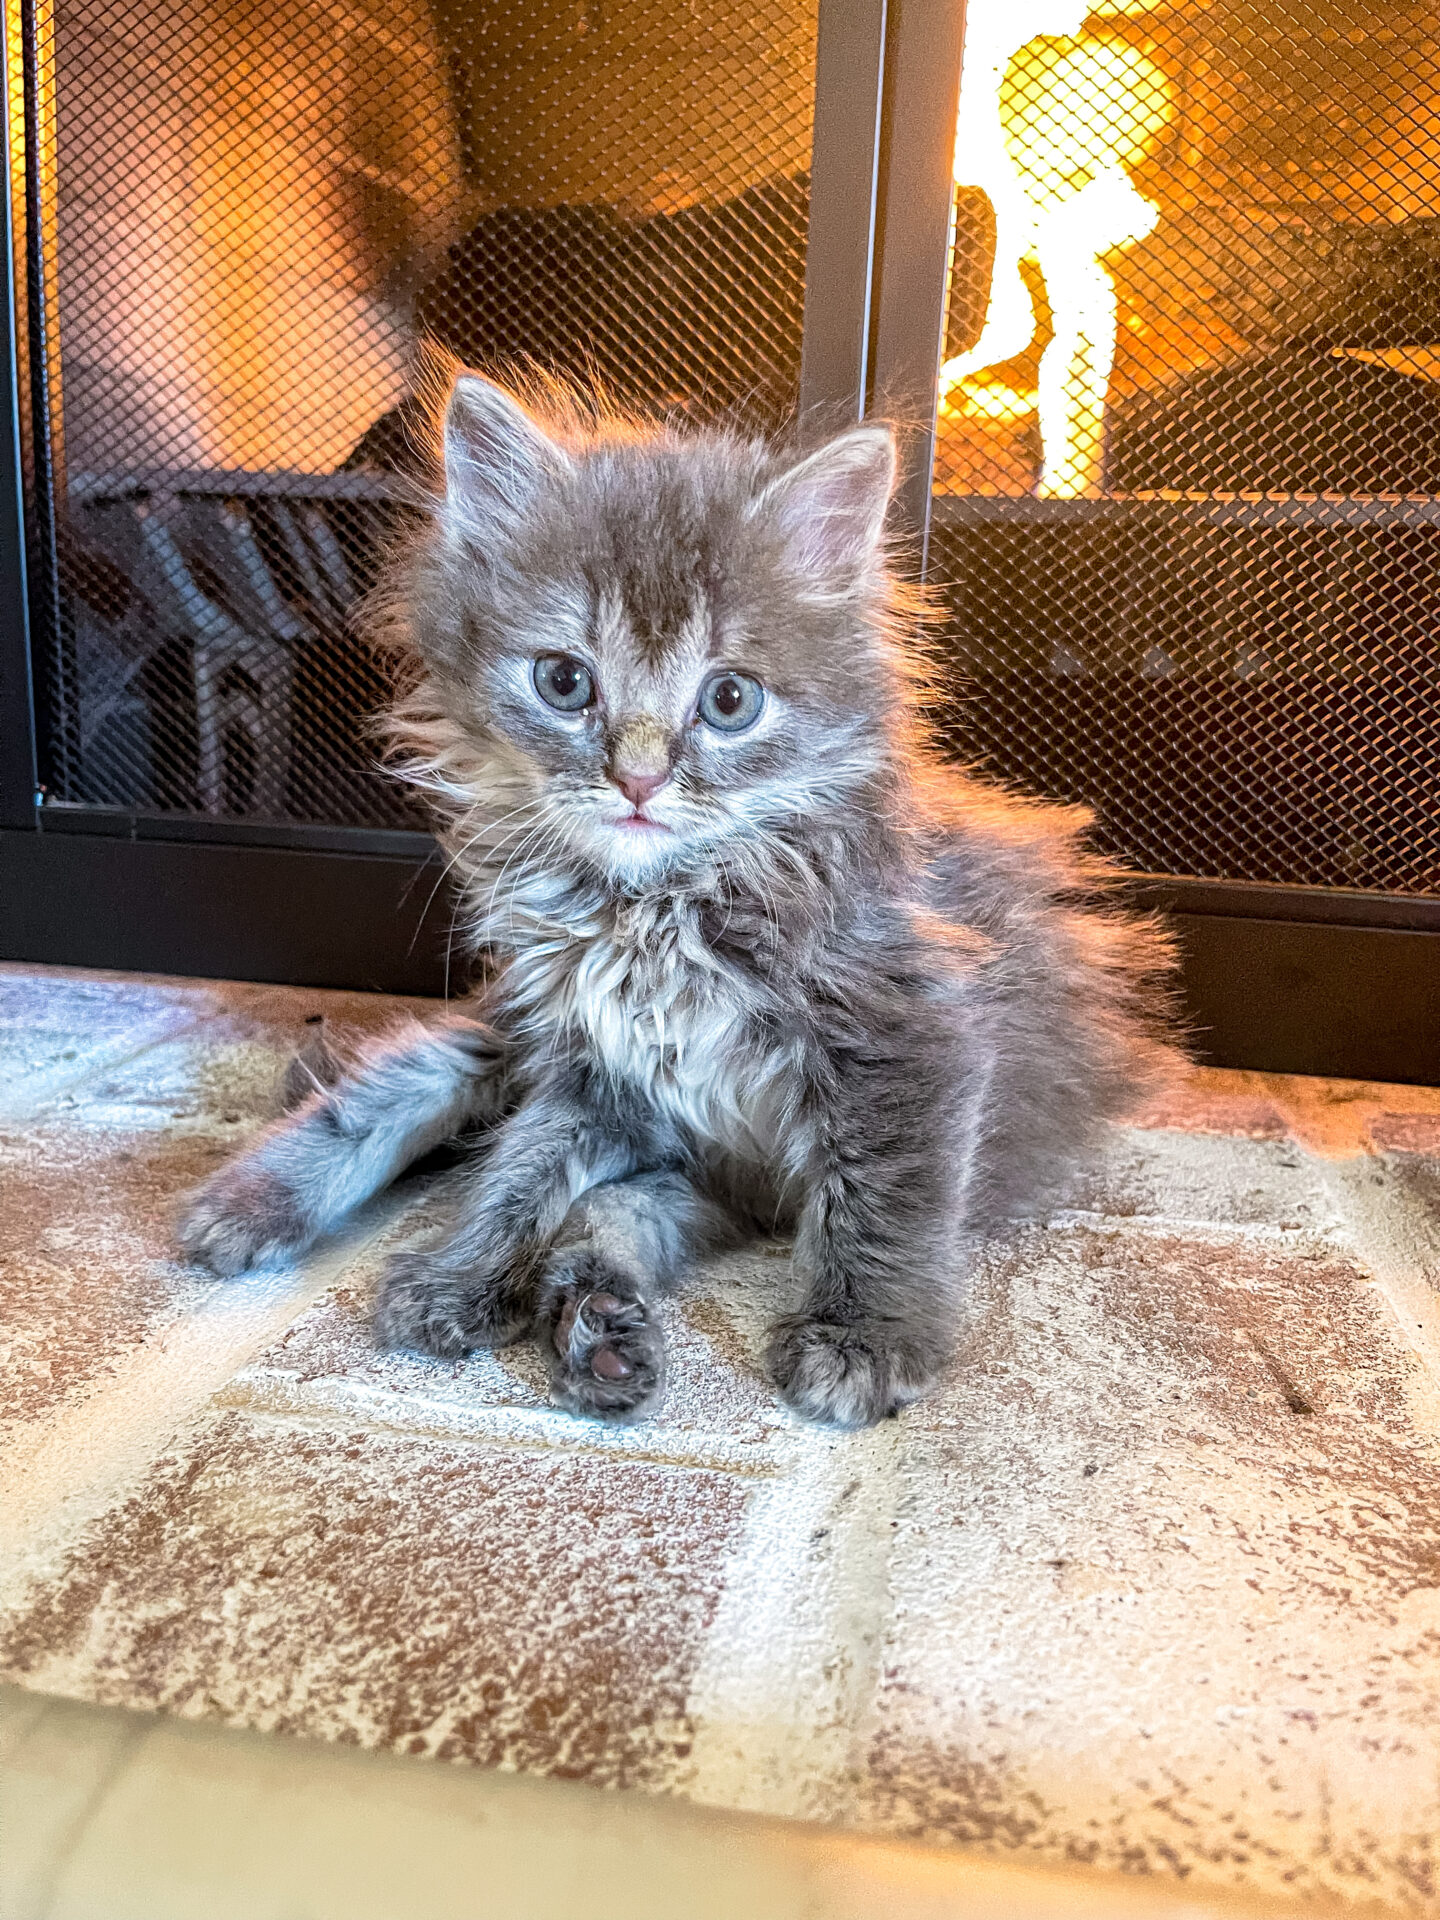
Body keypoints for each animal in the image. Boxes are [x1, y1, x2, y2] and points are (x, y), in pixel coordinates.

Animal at [180, 374, 1175, 1428]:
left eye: (731, 700)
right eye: (564, 681)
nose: (639, 780)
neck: (658, 912)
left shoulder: (910, 1033)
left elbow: (884, 1201)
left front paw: (863, 1338)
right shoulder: (592, 1061)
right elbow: (518, 1172)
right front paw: (463, 1273)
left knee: (614, 1214)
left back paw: (600, 1328)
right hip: (523, 1041)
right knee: (400, 1084)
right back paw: (249, 1208)